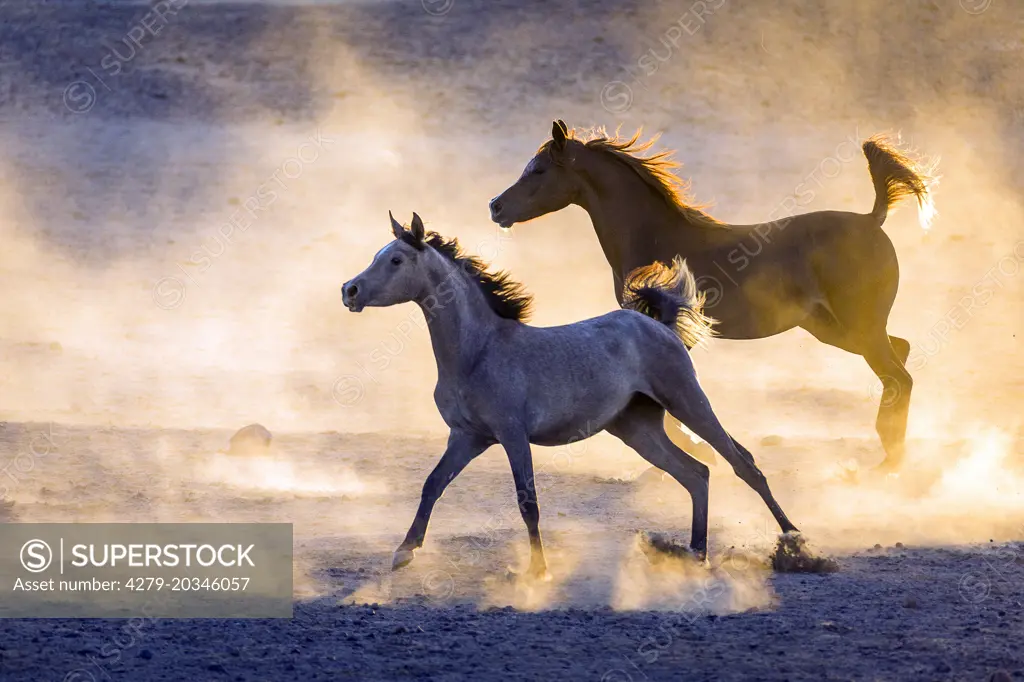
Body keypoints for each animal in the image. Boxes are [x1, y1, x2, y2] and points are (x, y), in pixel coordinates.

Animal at [339, 209, 794, 577]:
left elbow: (528, 502)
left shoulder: (512, 435)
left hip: (687, 401)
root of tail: (658, 324)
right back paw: (695, 554)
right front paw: (403, 552)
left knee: (742, 464)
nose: (350, 291)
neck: (477, 350)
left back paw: (793, 542)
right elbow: (432, 484)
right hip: (638, 429)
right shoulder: (468, 437)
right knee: (696, 473)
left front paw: (538, 570)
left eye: (396, 259)